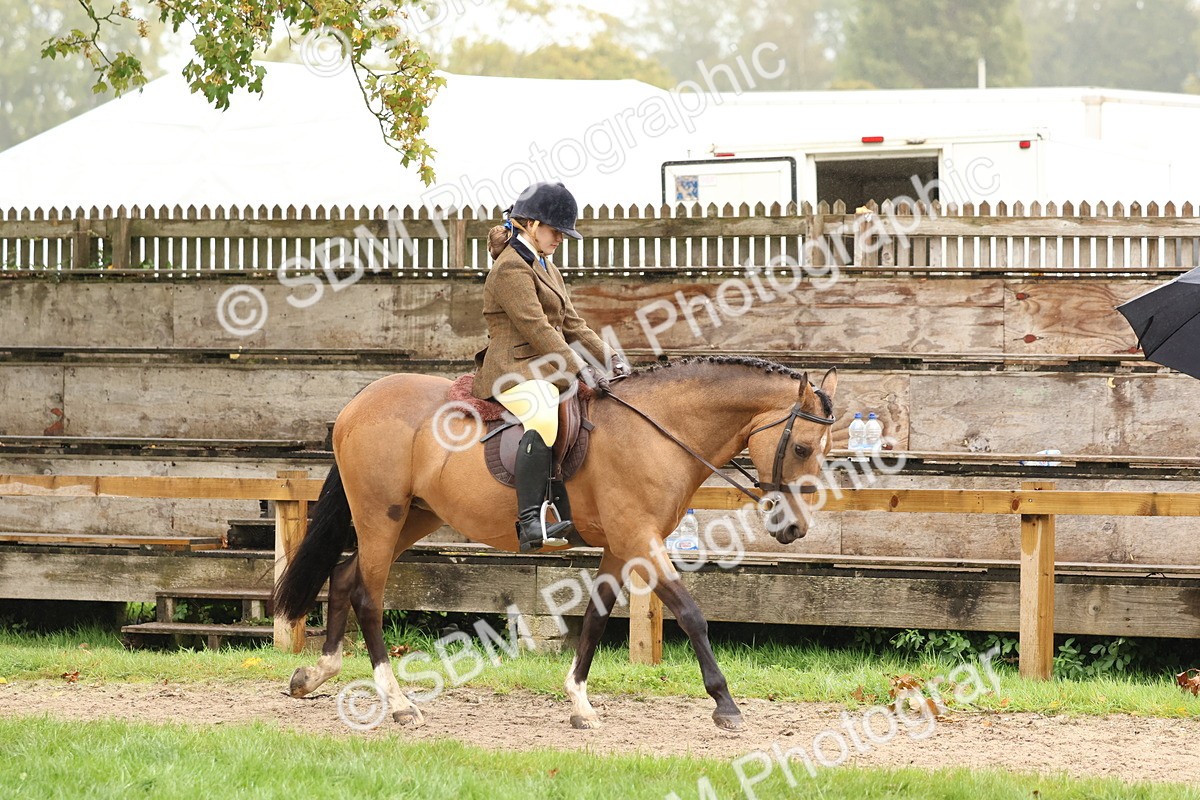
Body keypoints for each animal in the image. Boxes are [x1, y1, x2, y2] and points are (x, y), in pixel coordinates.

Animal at [274, 355, 838, 731]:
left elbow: (595, 619)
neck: (656, 430)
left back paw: (316, 674)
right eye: (802, 448)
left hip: (413, 517)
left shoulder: (622, 545)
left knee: (344, 577)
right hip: (381, 516)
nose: (794, 529)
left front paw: (580, 703)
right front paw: (726, 705)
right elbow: (690, 613)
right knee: (367, 596)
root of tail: (359, 401)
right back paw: (397, 704)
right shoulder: (641, 537)